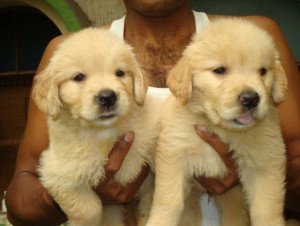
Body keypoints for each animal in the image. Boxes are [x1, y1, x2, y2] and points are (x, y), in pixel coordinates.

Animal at [31, 27, 161, 226]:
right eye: (78, 77)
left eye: (120, 73)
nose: (108, 97)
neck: (105, 132)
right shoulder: (56, 173)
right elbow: (89, 210)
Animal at [146, 18, 288, 226]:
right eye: (220, 70)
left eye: (263, 71)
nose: (251, 99)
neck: (219, 128)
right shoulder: (174, 156)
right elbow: (168, 202)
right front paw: (159, 221)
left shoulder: (266, 164)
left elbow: (266, 210)